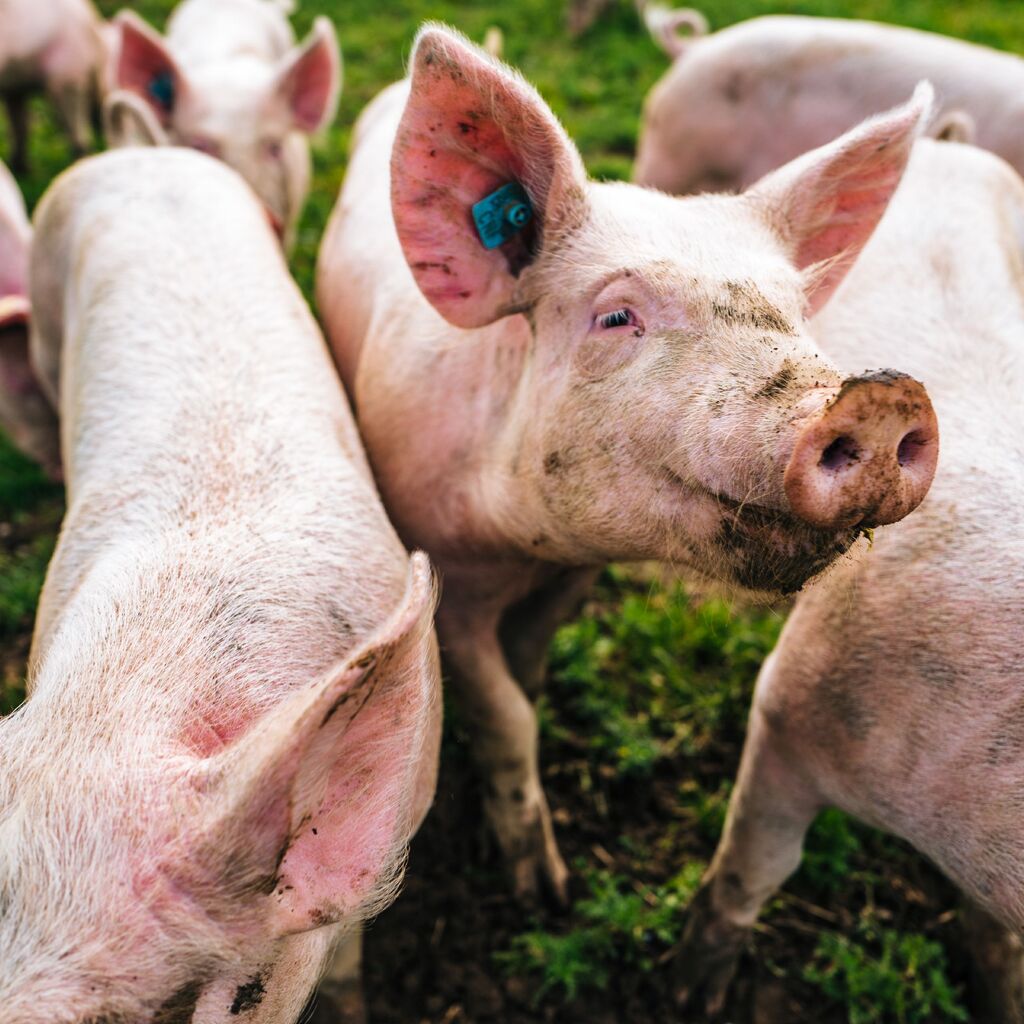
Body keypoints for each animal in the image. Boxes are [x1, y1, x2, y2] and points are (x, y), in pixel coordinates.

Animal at [315, 24, 939, 905]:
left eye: (795, 312)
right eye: (616, 316)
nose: (883, 396)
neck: (528, 547)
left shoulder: (577, 572)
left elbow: (530, 668)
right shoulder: (445, 576)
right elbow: (506, 715)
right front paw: (545, 890)